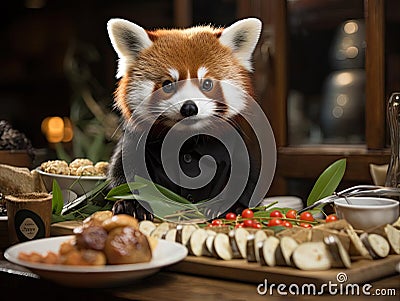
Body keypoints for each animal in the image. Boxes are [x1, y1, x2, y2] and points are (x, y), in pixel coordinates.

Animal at [107, 18, 262, 220]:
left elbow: (247, 172)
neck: (187, 137)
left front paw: (230, 205)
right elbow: (125, 170)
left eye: (207, 84)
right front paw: (131, 204)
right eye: (168, 84)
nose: (189, 108)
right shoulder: (135, 139)